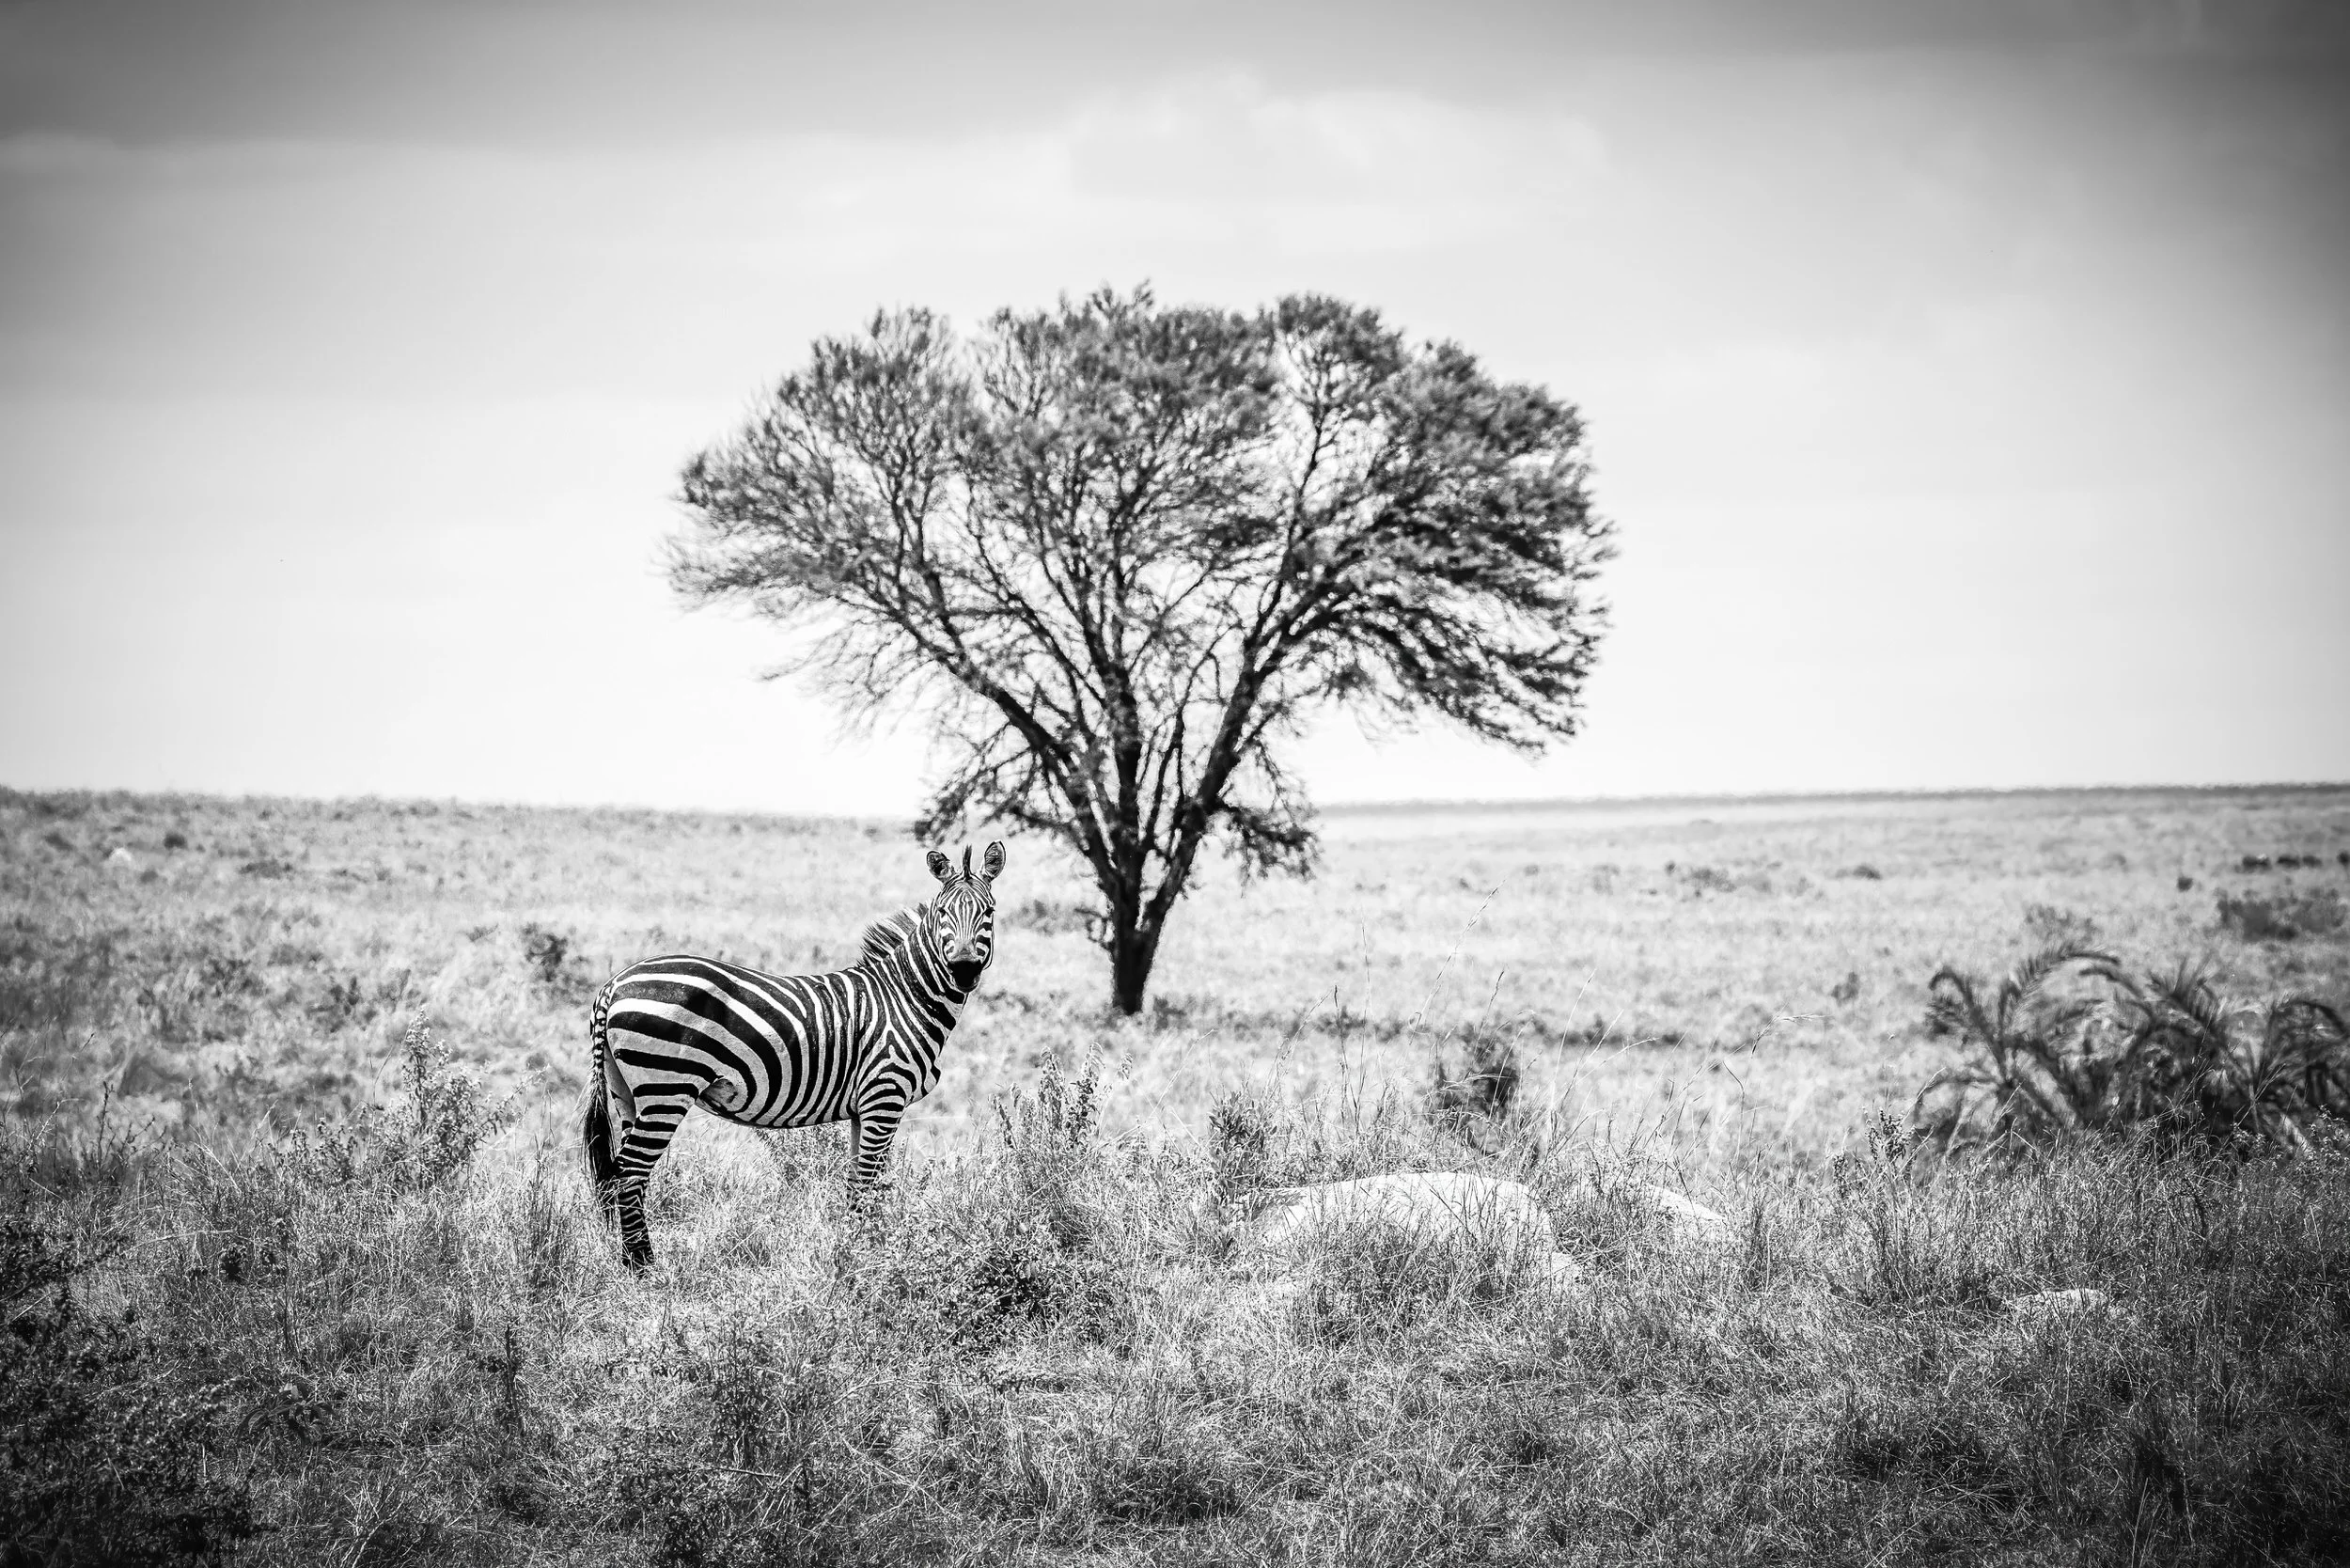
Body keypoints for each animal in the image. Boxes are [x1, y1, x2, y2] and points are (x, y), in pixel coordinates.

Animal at [581, 841, 1005, 1267]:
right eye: (943, 913)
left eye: (988, 911)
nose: (964, 971)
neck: (905, 997)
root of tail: (614, 985)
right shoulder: (885, 1096)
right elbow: (870, 1184)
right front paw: (870, 1259)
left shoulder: (863, 1107)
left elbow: (856, 1182)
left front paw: (851, 1251)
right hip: (666, 1087)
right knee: (631, 1172)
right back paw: (644, 1268)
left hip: (626, 1091)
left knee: (621, 1174)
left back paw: (633, 1262)